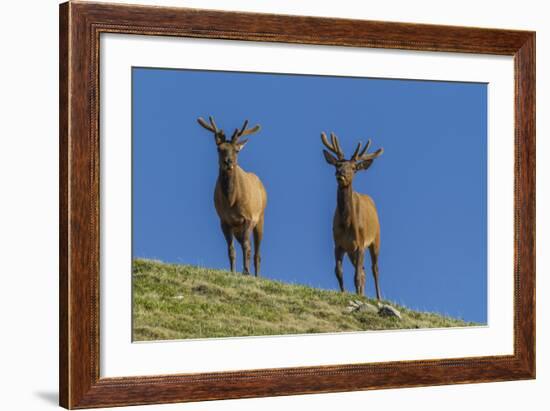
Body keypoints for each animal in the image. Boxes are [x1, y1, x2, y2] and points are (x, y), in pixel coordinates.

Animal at [197, 116, 268, 276]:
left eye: (236, 150)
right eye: (219, 149)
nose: (228, 162)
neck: (231, 201)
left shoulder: (248, 217)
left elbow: (247, 247)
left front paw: (246, 272)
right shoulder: (224, 221)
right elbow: (231, 250)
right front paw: (233, 271)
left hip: (260, 218)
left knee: (257, 253)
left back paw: (256, 275)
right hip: (238, 229)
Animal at [322, 132, 386, 300]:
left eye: (353, 168)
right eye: (337, 165)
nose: (341, 174)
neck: (347, 224)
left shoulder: (360, 243)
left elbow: (356, 276)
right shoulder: (338, 244)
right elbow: (338, 272)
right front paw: (344, 293)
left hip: (376, 238)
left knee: (374, 269)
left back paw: (378, 298)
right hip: (351, 251)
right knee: (364, 271)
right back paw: (362, 294)